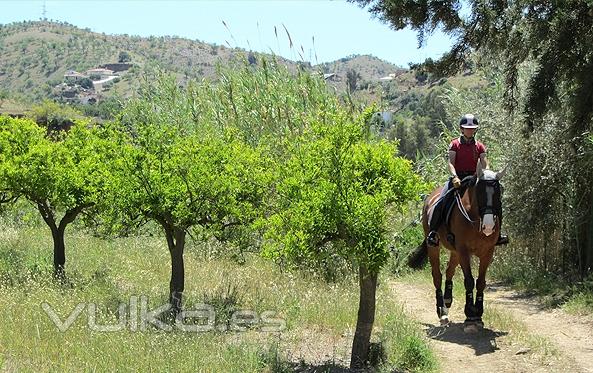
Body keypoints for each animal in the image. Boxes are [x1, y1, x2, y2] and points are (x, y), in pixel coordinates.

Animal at [408, 160, 504, 332]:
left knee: (449, 271)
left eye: (498, 194)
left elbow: (481, 282)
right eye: (479, 192)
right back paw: (442, 312)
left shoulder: (487, 252)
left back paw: (447, 300)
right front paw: (470, 315)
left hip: (455, 251)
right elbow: (469, 281)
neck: (474, 219)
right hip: (434, 246)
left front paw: (478, 315)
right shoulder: (464, 251)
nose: (488, 226)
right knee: (437, 275)